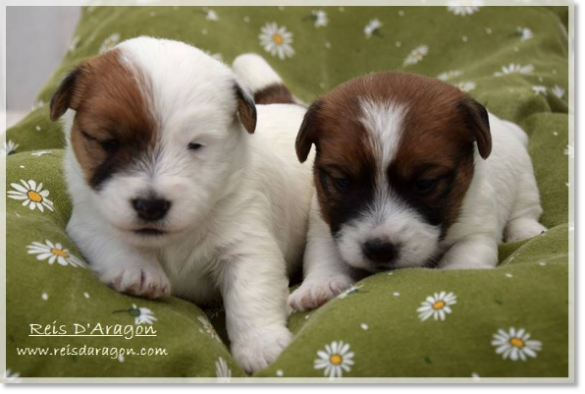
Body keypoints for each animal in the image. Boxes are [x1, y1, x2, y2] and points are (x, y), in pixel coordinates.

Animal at [50, 37, 312, 372]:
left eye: (195, 145)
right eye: (108, 143)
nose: (150, 205)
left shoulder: (247, 243)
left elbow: (251, 294)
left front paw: (261, 344)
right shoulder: (90, 221)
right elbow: (115, 241)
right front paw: (139, 271)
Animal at [288, 71, 548, 310]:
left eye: (424, 184)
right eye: (342, 181)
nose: (379, 249)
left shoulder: (477, 231)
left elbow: (465, 253)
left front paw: (459, 272)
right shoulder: (324, 226)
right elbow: (324, 256)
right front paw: (320, 285)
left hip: (525, 182)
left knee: (524, 211)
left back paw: (525, 231)